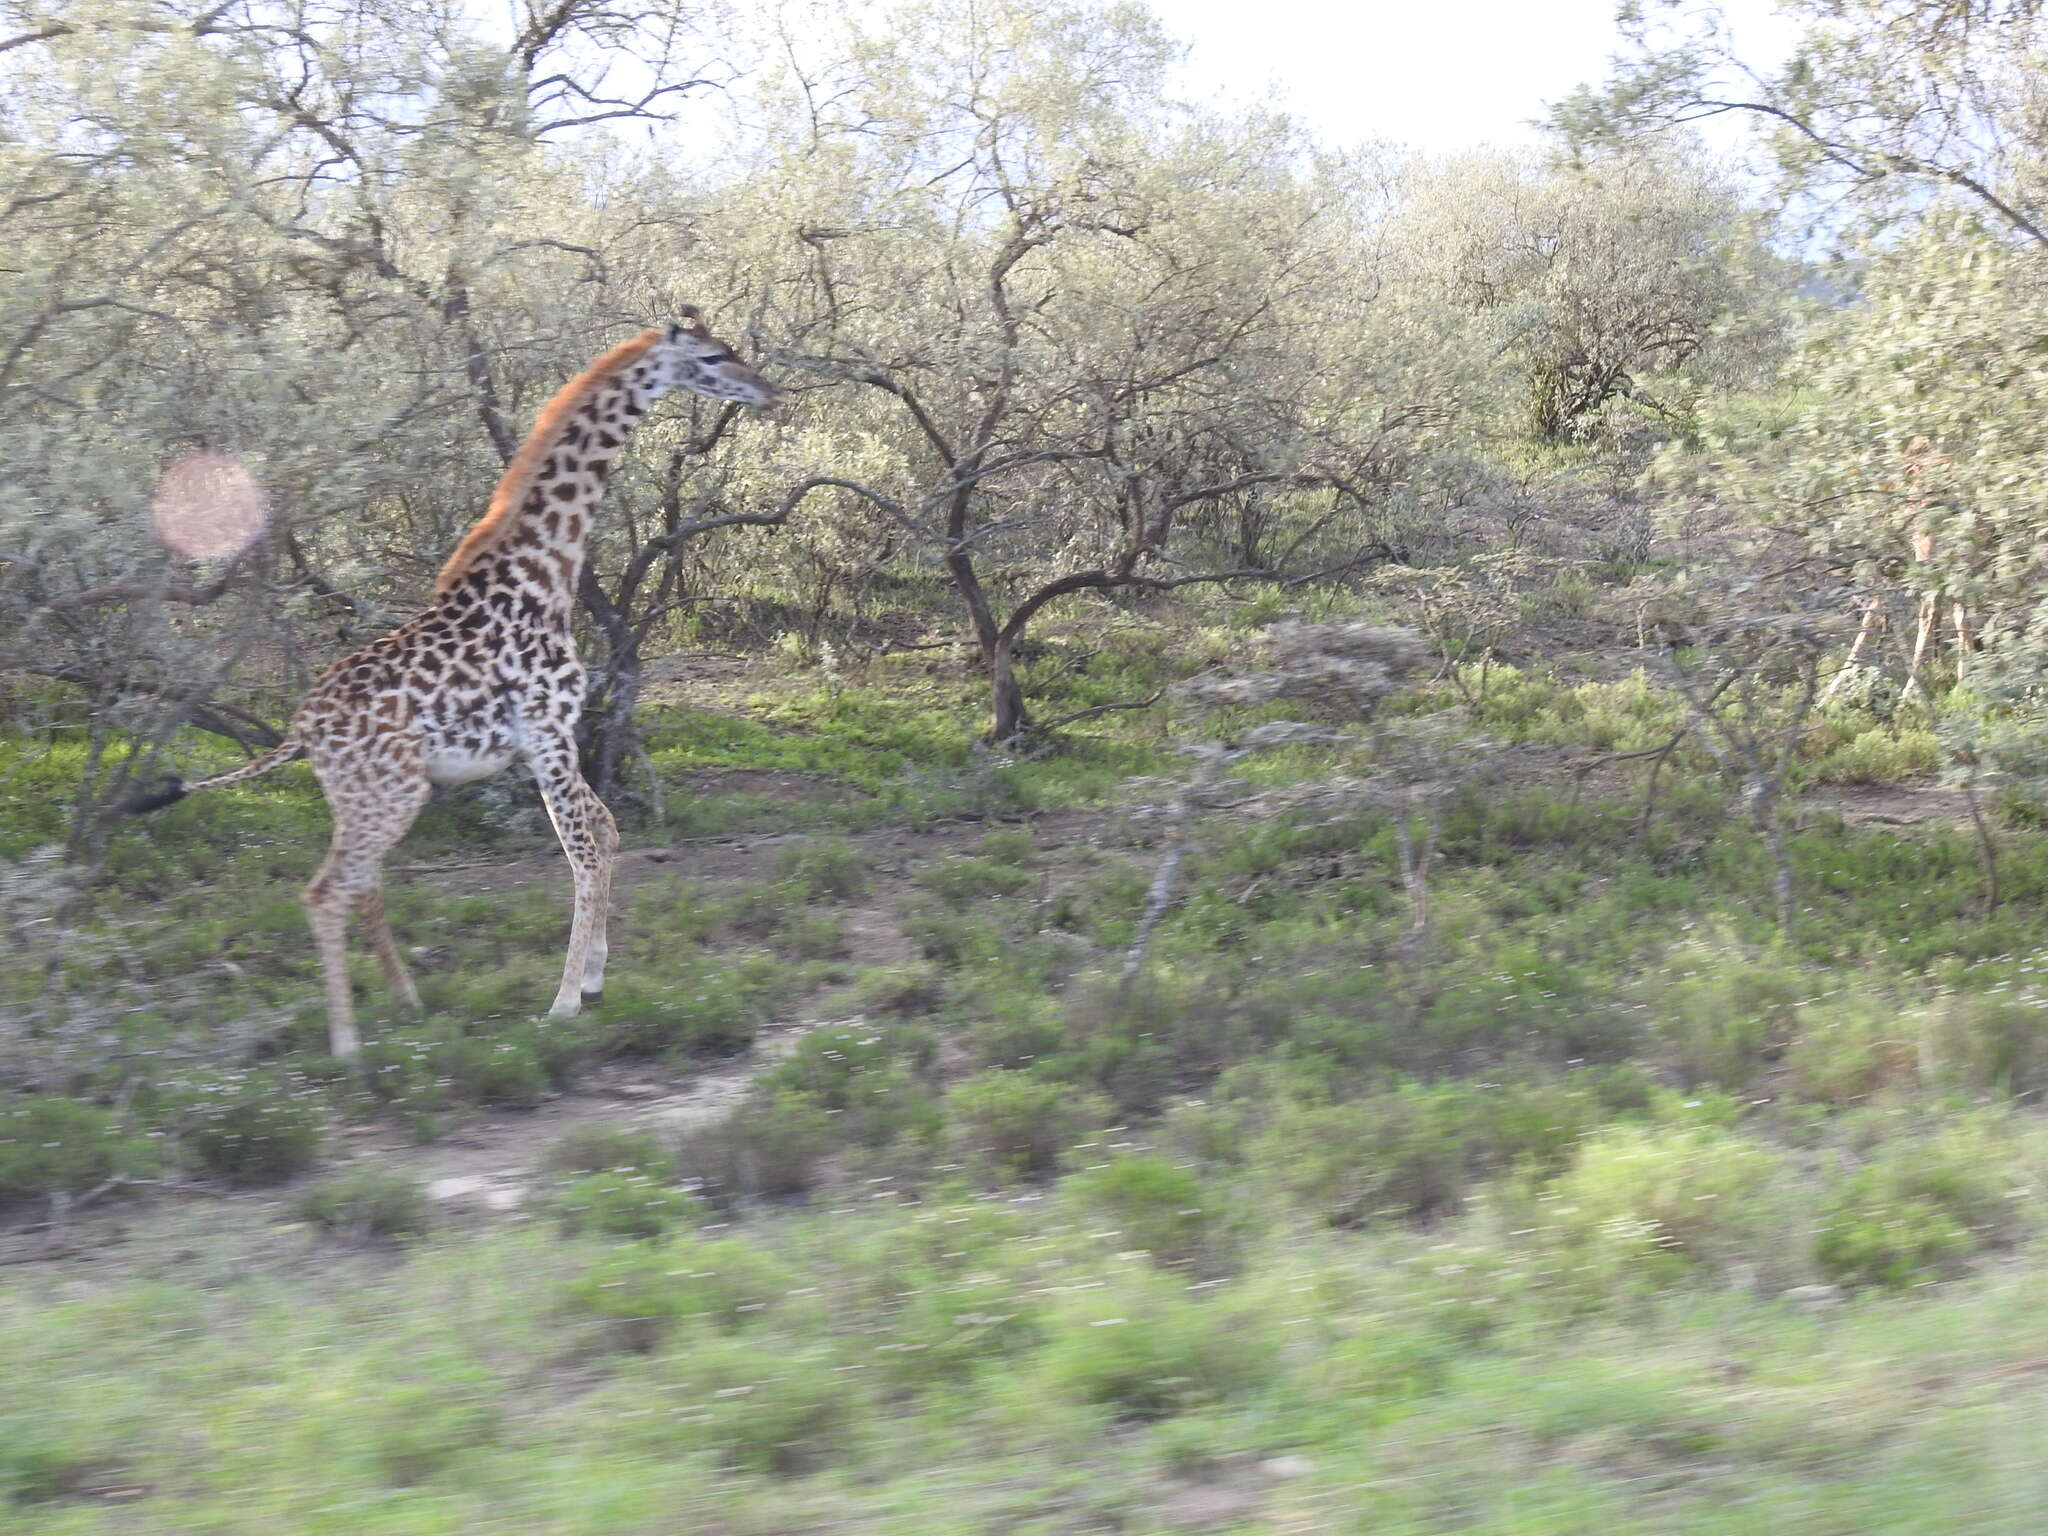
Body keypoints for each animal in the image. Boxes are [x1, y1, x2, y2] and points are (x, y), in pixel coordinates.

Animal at [128, 313, 778, 1056]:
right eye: (714, 357)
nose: (770, 390)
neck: (544, 576)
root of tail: (300, 728)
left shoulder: (546, 741)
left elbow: (605, 832)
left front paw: (592, 979)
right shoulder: (548, 736)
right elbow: (583, 853)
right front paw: (562, 1004)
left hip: (364, 794)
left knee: (360, 883)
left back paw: (405, 1000)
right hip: (392, 792)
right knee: (327, 890)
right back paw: (347, 1044)